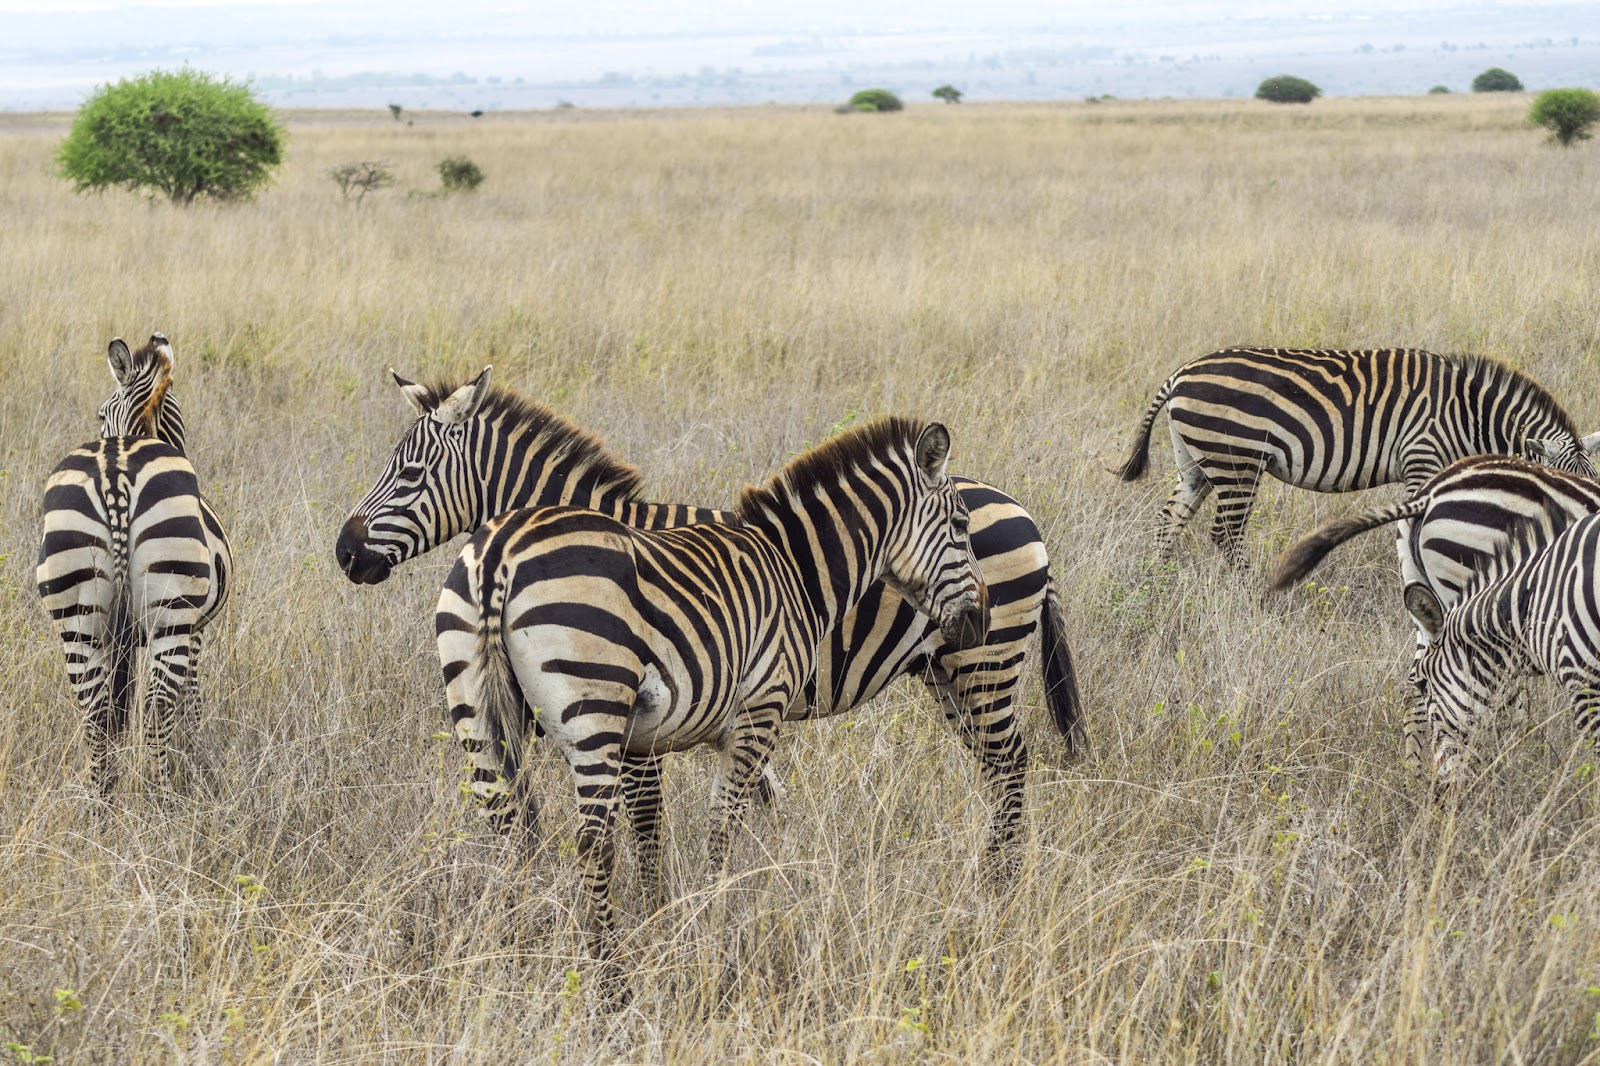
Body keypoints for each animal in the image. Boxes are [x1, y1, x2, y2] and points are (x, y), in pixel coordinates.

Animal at [36, 335, 230, 793]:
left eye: (100, 414)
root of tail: (115, 474)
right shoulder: (195, 629)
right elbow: (188, 699)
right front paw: (194, 755)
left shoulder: (123, 637)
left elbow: (121, 706)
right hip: (170, 611)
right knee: (157, 707)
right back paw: (160, 797)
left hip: (78, 613)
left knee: (95, 713)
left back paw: (102, 800)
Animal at [335, 367, 1083, 859]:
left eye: (408, 475)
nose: (345, 552)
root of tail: (1016, 503)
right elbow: (754, 802)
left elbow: (654, 826)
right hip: (946, 671)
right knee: (997, 767)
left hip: (985, 660)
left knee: (1012, 762)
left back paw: (1000, 884)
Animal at [435, 416, 987, 955]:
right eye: (961, 527)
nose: (980, 623)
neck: (795, 572)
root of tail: (499, 552)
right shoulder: (758, 714)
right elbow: (722, 832)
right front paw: (711, 928)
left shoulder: (657, 739)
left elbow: (683, 825)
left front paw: (683, 917)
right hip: (591, 711)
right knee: (592, 843)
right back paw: (609, 968)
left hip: (475, 711)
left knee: (508, 829)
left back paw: (515, 950)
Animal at [1112, 347, 1599, 566]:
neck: (1468, 414)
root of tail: (1180, 373)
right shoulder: (1422, 458)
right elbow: (1411, 527)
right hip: (1238, 462)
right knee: (1226, 535)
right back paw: (1249, 597)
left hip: (1195, 461)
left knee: (1168, 522)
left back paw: (1161, 585)